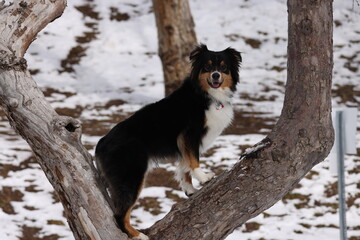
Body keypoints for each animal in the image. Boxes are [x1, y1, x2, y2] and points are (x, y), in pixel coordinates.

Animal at [95, 44, 242, 239]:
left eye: (224, 67)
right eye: (208, 66)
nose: (216, 75)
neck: (205, 94)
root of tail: (101, 143)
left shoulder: (185, 142)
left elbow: (185, 165)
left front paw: (189, 189)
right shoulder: (189, 134)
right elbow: (193, 160)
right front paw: (203, 177)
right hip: (131, 177)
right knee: (120, 215)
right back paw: (137, 235)